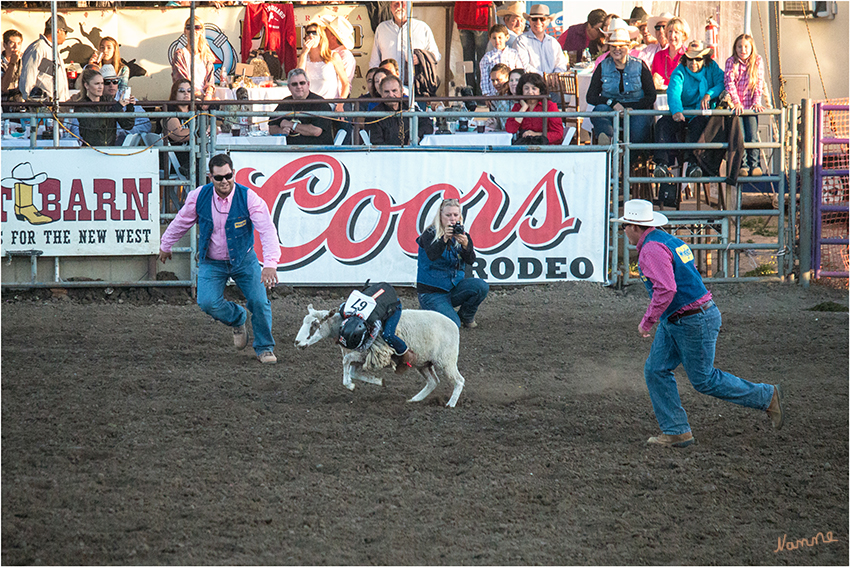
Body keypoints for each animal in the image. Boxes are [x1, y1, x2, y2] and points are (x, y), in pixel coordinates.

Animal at [292, 306, 464, 408]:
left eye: (314, 325)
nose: (297, 342)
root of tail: (454, 325)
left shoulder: (364, 353)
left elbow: (346, 362)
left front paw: (349, 384)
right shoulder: (360, 358)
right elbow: (353, 371)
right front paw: (379, 382)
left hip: (445, 360)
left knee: (459, 380)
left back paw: (450, 404)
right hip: (423, 362)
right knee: (433, 382)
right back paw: (414, 400)